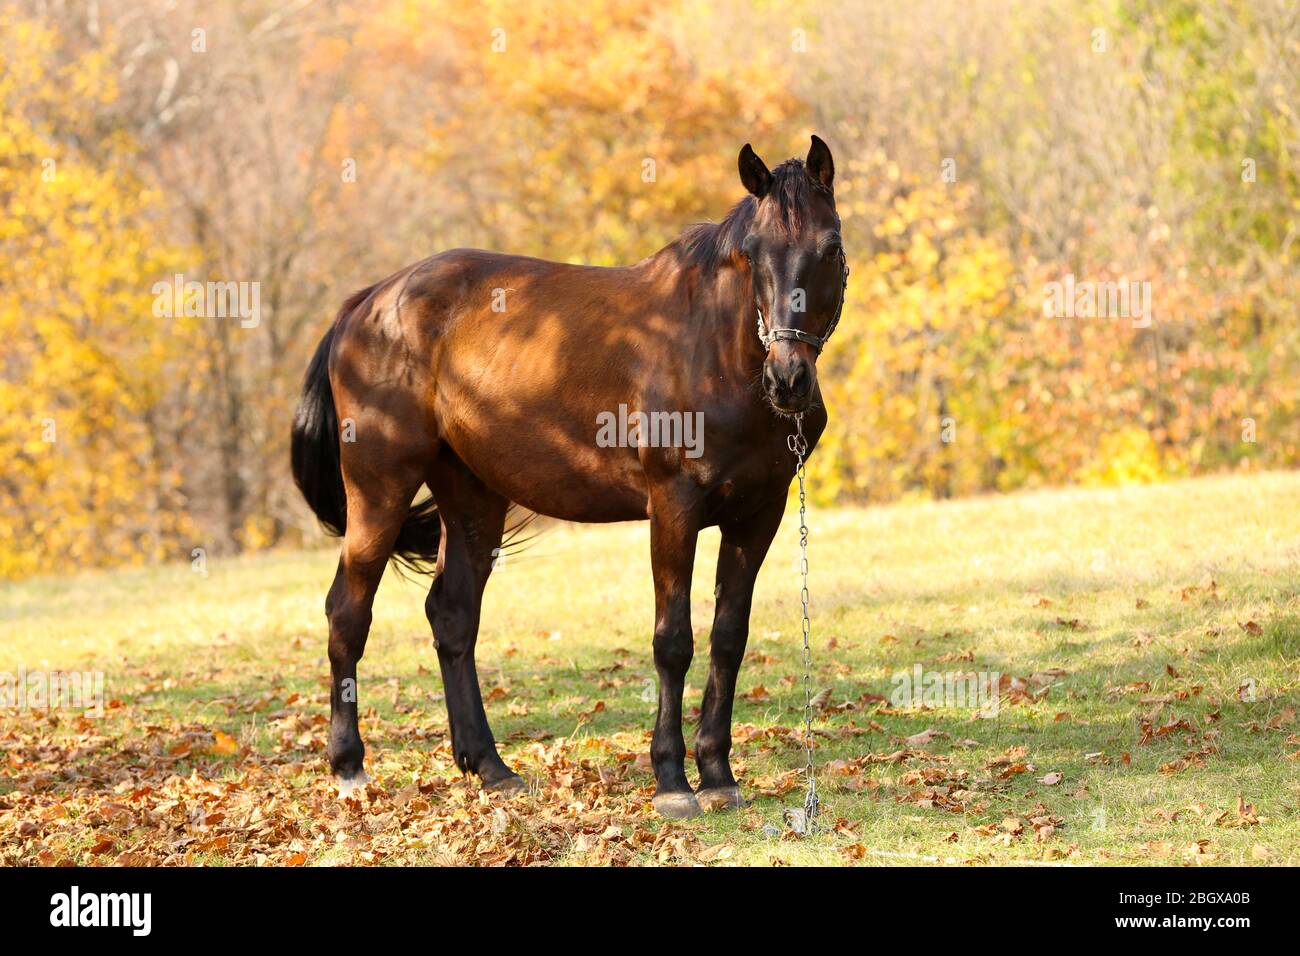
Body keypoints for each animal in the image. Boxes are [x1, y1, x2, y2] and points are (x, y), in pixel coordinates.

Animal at [291, 136, 848, 818]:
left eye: (830, 248)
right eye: (755, 255)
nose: (788, 380)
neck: (711, 350)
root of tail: (366, 303)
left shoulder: (758, 514)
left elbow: (728, 637)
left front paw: (717, 772)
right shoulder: (674, 508)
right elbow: (673, 640)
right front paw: (671, 780)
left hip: (472, 499)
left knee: (452, 617)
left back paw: (491, 767)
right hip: (379, 492)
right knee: (348, 612)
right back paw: (349, 767)